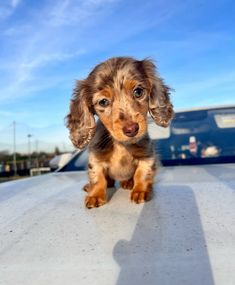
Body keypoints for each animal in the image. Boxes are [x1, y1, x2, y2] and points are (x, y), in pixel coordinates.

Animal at [66, 56, 173, 207]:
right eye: (103, 102)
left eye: (138, 92)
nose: (131, 129)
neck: (121, 144)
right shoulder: (96, 157)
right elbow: (97, 177)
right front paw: (95, 195)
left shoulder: (147, 154)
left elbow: (142, 173)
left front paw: (141, 191)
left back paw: (128, 182)